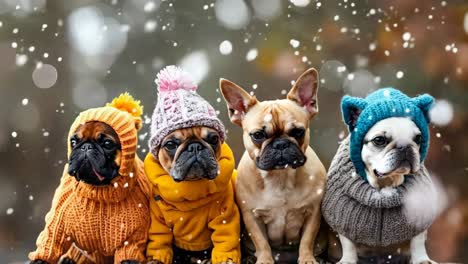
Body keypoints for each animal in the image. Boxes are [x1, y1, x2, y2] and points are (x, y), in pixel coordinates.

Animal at [145, 64, 241, 264]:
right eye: (170, 144)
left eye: (213, 139)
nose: (195, 146)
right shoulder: (159, 224)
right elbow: (159, 244)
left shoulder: (225, 218)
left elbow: (225, 243)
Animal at [219, 69, 326, 262]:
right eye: (258, 135)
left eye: (298, 132)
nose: (280, 144)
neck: (280, 177)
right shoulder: (251, 216)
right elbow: (261, 243)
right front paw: (265, 260)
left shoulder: (313, 212)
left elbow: (307, 240)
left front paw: (307, 259)